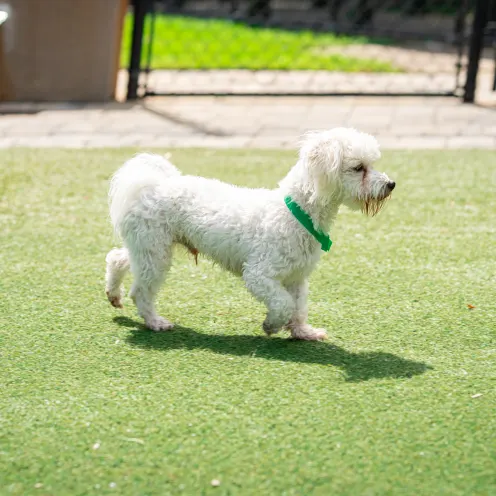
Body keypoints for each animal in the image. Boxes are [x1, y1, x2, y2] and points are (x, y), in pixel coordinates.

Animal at [105, 127, 396, 340]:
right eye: (359, 168)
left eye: (372, 164)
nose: (391, 184)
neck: (295, 212)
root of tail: (149, 186)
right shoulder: (259, 274)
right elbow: (283, 303)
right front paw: (271, 325)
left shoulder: (296, 276)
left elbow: (299, 306)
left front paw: (303, 332)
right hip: (155, 251)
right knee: (141, 290)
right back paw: (155, 322)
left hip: (148, 246)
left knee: (117, 258)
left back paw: (113, 294)